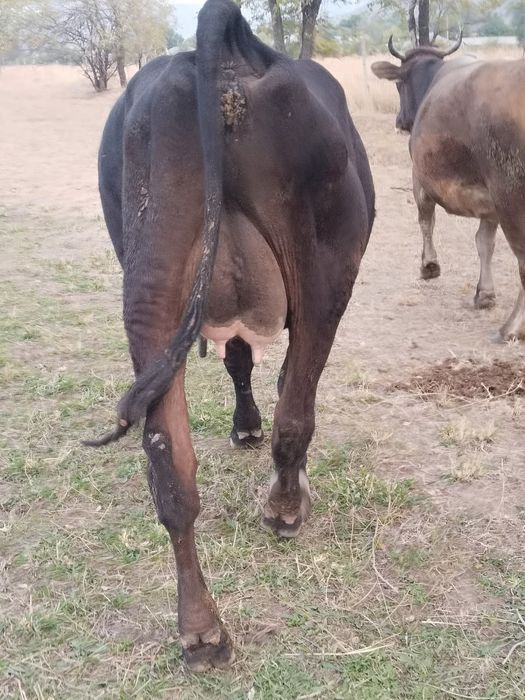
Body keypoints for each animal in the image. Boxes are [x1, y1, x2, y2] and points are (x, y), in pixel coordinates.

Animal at [88, 0, 375, 671]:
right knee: (296, 411)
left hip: (150, 285)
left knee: (169, 467)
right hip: (324, 272)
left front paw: (244, 426)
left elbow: (240, 361)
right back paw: (285, 510)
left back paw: (201, 632)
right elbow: (278, 381)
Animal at [372, 38, 525, 340]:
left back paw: (511, 327)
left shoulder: (418, 178)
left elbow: (425, 221)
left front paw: (429, 266)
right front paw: (484, 294)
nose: (398, 121)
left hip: (511, 198)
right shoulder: (489, 203)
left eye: (399, 83)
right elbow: (484, 242)